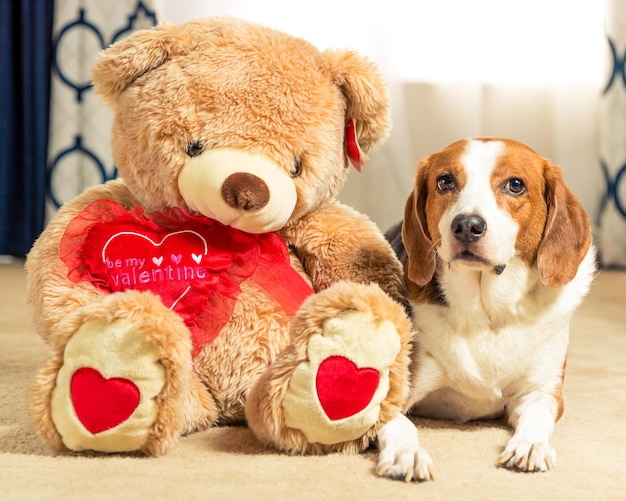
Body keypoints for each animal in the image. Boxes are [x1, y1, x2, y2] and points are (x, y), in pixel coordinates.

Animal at [376, 138, 596, 480]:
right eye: (445, 181)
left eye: (515, 185)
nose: (467, 225)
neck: (487, 312)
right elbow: (398, 423)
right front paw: (406, 453)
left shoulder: (542, 392)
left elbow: (538, 417)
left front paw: (530, 445)